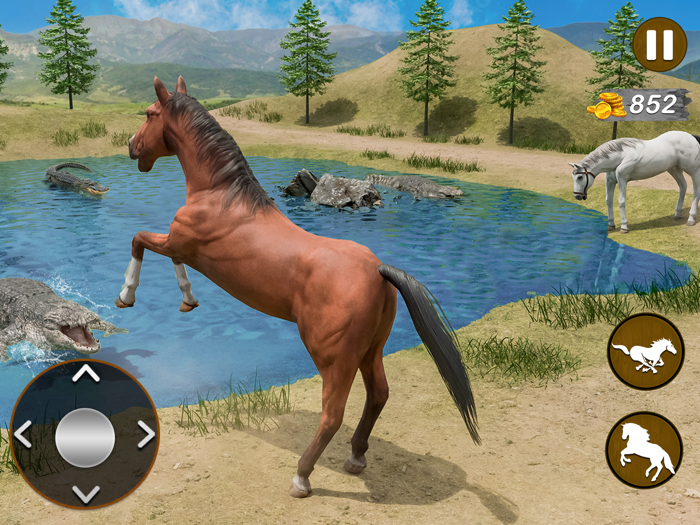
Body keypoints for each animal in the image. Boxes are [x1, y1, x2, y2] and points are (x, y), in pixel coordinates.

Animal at [117, 76, 480, 498]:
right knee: (378, 395)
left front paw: (126, 296)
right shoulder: (180, 247)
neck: (221, 196)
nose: (131, 145)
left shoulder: (177, 242)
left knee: (333, 414)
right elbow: (168, 258)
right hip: (371, 350)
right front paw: (188, 301)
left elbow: (139, 240)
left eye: (149, 114)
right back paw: (356, 457)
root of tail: (378, 270)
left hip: (332, 357)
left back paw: (302, 477)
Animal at [568, 131, 700, 233]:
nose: (577, 196)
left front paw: (624, 227)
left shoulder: (622, 179)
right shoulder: (610, 181)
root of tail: (692, 137)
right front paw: (611, 225)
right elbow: (608, 201)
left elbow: (621, 201)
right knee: (683, 186)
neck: (621, 156)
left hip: (694, 170)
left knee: (696, 191)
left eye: (580, 177)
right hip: (674, 169)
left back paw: (691, 219)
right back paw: (677, 214)